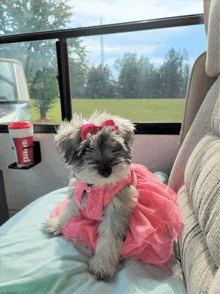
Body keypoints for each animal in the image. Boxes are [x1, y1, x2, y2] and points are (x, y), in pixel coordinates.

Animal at [43, 111, 138, 282]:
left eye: (114, 146)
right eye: (86, 148)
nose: (106, 170)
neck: (97, 187)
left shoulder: (116, 210)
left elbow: (109, 238)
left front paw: (103, 266)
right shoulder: (76, 196)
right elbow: (68, 212)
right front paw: (57, 224)